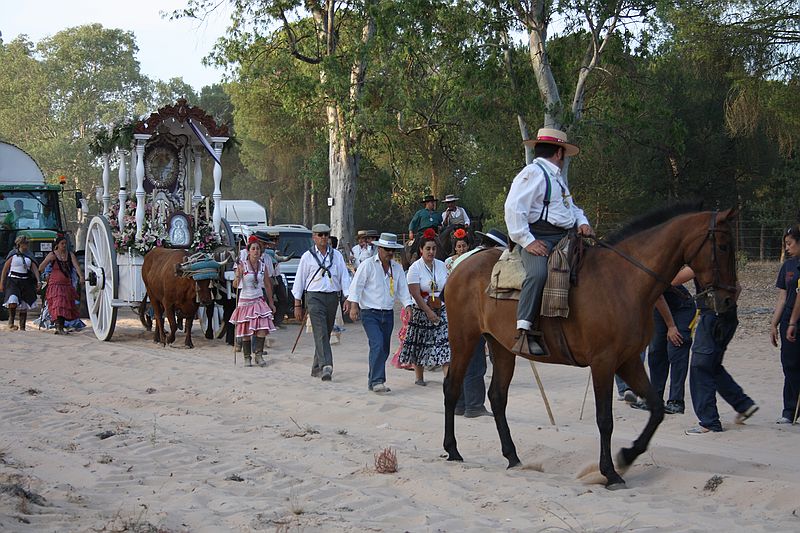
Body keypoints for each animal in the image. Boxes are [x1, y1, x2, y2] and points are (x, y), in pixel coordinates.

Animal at [442, 205, 738, 489]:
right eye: (723, 246)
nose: (727, 300)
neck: (624, 280)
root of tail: (459, 267)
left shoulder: (628, 360)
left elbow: (655, 409)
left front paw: (627, 456)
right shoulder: (603, 363)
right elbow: (605, 419)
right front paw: (610, 473)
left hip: (501, 347)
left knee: (497, 396)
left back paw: (512, 456)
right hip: (464, 339)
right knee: (452, 387)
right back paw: (452, 449)